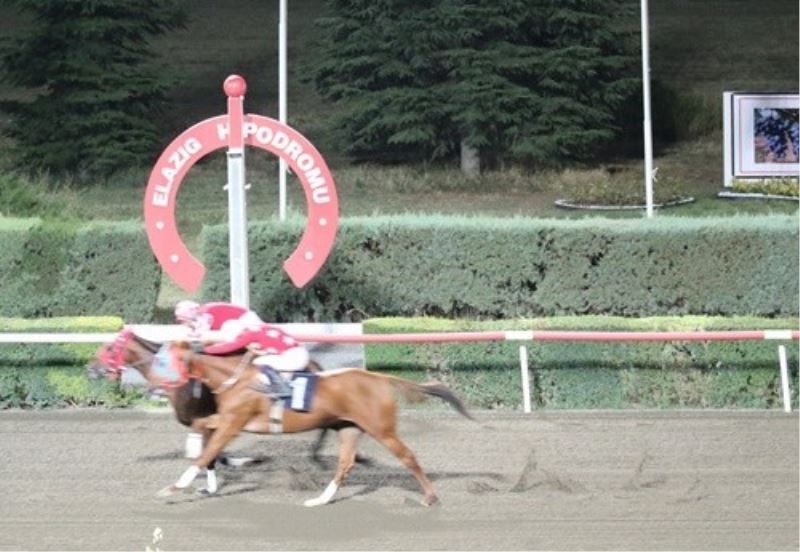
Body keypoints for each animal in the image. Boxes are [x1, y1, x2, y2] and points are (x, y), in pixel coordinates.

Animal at [90, 328, 472, 504]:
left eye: (110, 347)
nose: (90, 368)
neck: (232, 377)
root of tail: (378, 378)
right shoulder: (220, 419)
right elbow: (207, 445)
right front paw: (212, 478)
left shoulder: (232, 421)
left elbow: (207, 452)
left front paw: (176, 486)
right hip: (348, 427)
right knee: (344, 463)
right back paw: (321, 498)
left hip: (381, 428)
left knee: (408, 457)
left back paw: (430, 497)